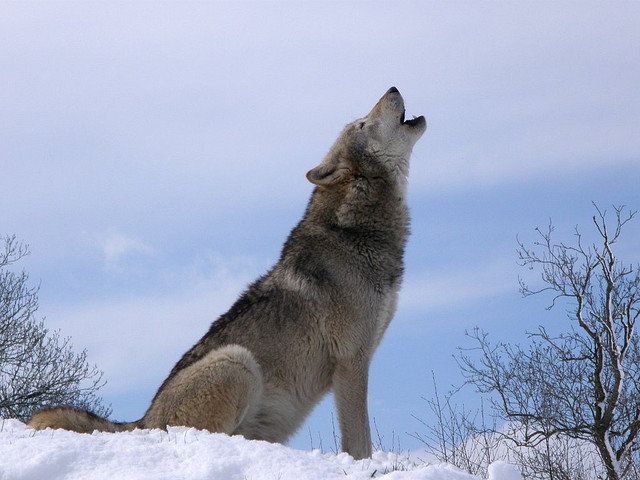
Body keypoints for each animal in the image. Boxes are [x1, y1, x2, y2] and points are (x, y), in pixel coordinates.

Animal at [28, 87, 426, 460]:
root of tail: (142, 421)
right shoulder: (351, 361)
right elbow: (359, 441)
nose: (393, 87)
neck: (354, 230)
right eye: (362, 123)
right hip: (238, 361)